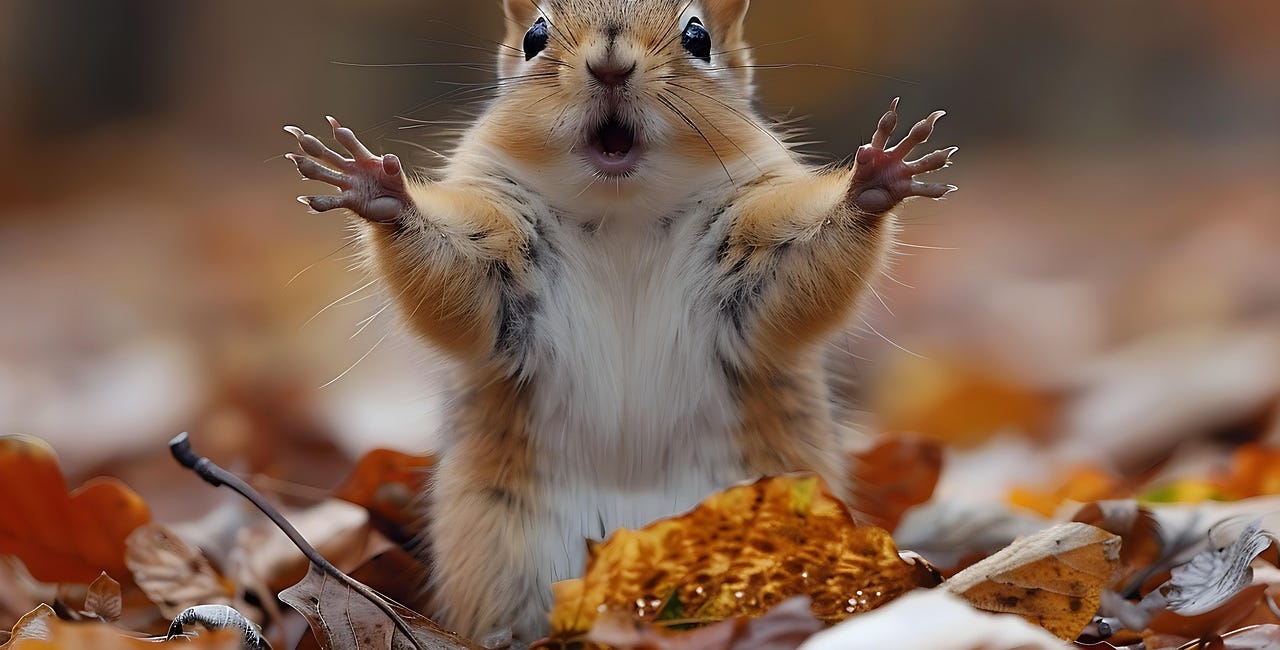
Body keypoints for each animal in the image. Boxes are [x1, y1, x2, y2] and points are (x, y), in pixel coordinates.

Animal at [284, 0, 955, 641]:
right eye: (534, 38)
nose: (609, 65)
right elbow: (461, 283)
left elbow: (801, 271)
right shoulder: (499, 259)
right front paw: (378, 191)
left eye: (697, 37)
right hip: (498, 552)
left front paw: (874, 181)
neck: (621, 213)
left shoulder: (755, 255)